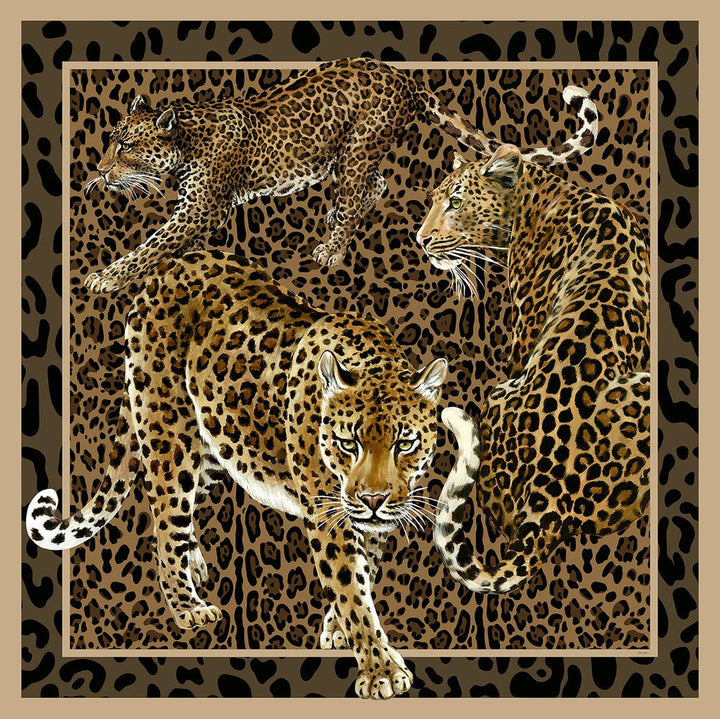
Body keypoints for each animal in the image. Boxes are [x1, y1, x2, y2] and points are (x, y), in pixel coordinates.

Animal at [26, 249, 450, 699]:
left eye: (404, 444)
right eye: (347, 443)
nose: (373, 499)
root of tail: (172, 266)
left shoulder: (368, 519)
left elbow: (363, 571)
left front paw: (339, 631)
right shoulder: (327, 513)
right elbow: (350, 587)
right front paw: (381, 670)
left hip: (215, 445)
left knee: (181, 512)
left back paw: (194, 561)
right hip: (168, 434)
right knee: (164, 520)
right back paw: (188, 607)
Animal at [82, 57, 599, 293]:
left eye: (126, 147)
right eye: (110, 139)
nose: (99, 172)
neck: (187, 137)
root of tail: (403, 76)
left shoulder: (201, 209)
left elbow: (152, 245)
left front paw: (106, 277)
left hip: (356, 148)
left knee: (361, 192)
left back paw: (332, 246)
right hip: (346, 156)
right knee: (375, 185)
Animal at [414, 143, 650, 594]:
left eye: (456, 202)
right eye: (433, 199)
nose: (421, 240)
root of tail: (551, 502)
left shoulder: (525, 332)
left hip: (499, 392)